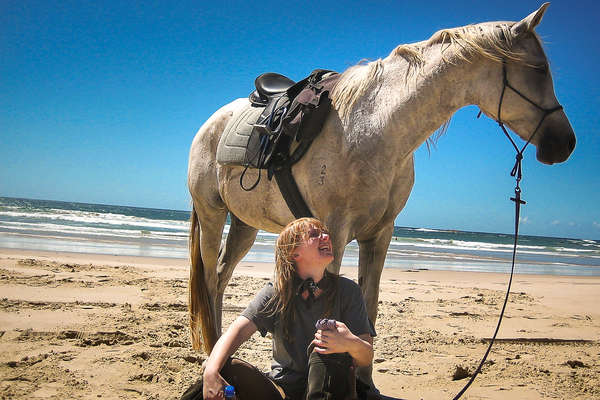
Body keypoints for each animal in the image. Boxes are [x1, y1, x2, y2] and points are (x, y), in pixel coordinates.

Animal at [188, 3, 576, 354]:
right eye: (539, 69)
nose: (566, 144)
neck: (376, 128)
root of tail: (211, 122)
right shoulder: (334, 232)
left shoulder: (380, 234)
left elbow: (368, 312)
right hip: (211, 214)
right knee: (208, 279)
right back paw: (213, 351)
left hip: (244, 226)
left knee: (221, 275)